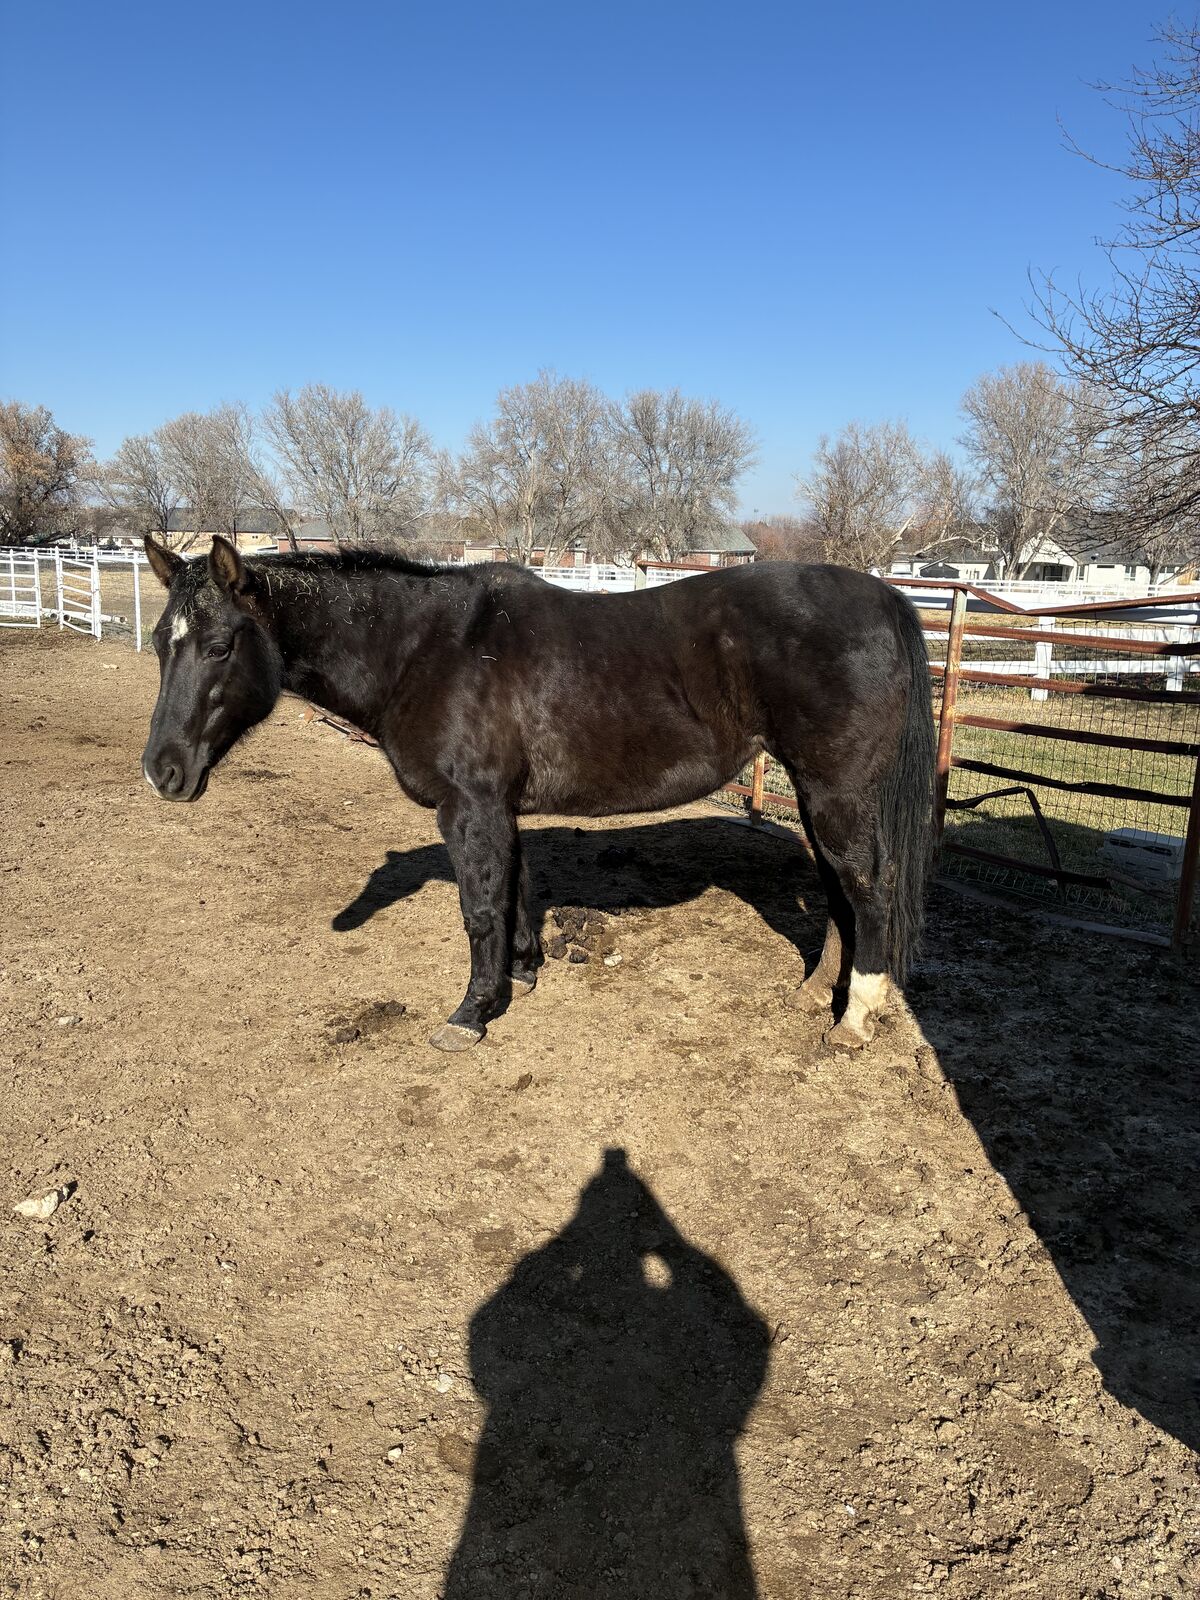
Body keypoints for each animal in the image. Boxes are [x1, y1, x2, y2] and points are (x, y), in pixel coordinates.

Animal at [141, 535, 935, 1053]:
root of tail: (885, 597)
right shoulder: (500, 809)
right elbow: (516, 891)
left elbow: (480, 909)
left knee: (866, 885)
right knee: (839, 887)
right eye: (158, 642)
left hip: (836, 791)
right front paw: (521, 974)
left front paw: (471, 1013)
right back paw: (819, 992)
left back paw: (855, 1017)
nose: (161, 771)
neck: (425, 649)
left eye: (220, 646)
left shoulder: (469, 808)